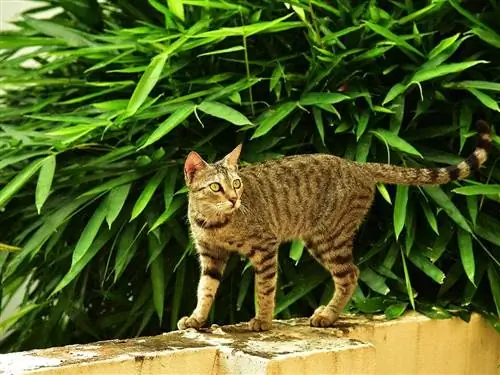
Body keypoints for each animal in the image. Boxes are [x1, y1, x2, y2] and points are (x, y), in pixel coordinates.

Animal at [177, 120, 492, 332]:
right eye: (216, 187)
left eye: (237, 183)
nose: (234, 199)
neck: (214, 222)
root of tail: (359, 166)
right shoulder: (210, 255)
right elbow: (205, 289)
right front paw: (197, 319)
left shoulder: (265, 247)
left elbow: (264, 289)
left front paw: (263, 320)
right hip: (320, 240)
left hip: (329, 238)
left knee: (350, 274)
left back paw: (328, 316)